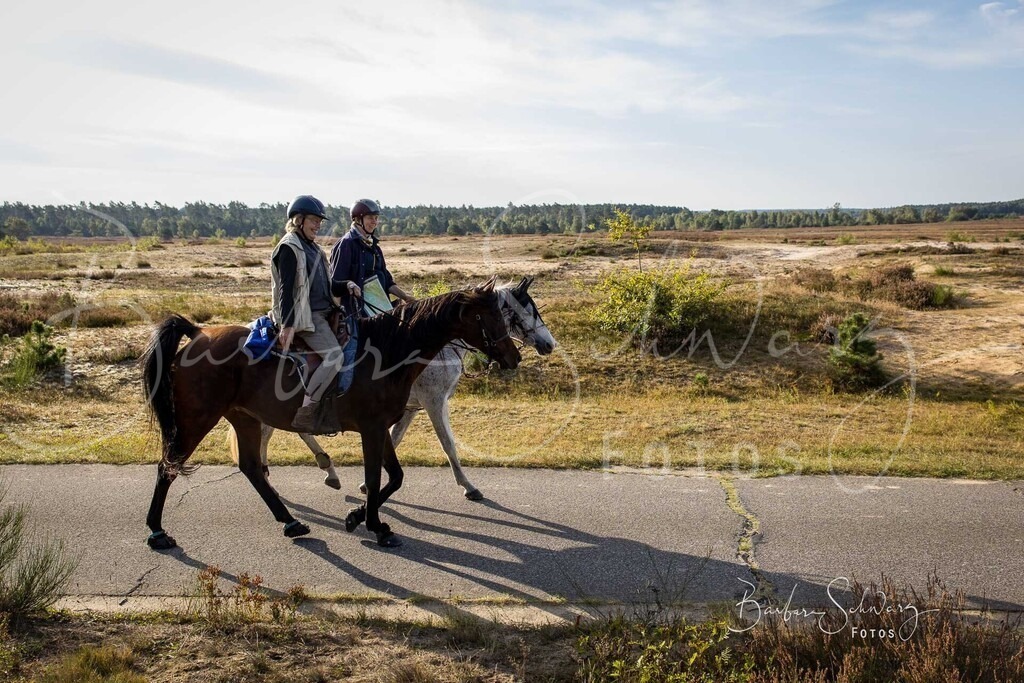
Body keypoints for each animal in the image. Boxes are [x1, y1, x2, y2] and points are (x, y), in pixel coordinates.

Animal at [140, 279, 520, 549]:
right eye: (488, 316)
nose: (513, 357)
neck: (388, 351)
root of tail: (198, 333)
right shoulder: (373, 427)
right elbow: (378, 477)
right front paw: (376, 526)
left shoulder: (382, 426)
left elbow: (395, 476)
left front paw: (358, 517)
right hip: (197, 420)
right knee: (168, 466)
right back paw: (157, 532)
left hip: (244, 417)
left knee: (250, 467)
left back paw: (291, 521)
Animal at [252, 277, 557, 500]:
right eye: (527, 311)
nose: (549, 344)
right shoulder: (434, 402)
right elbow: (447, 443)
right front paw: (468, 486)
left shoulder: (411, 408)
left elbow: (394, 438)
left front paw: (368, 484)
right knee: (276, 431)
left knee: (278, 431)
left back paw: (312, 472)